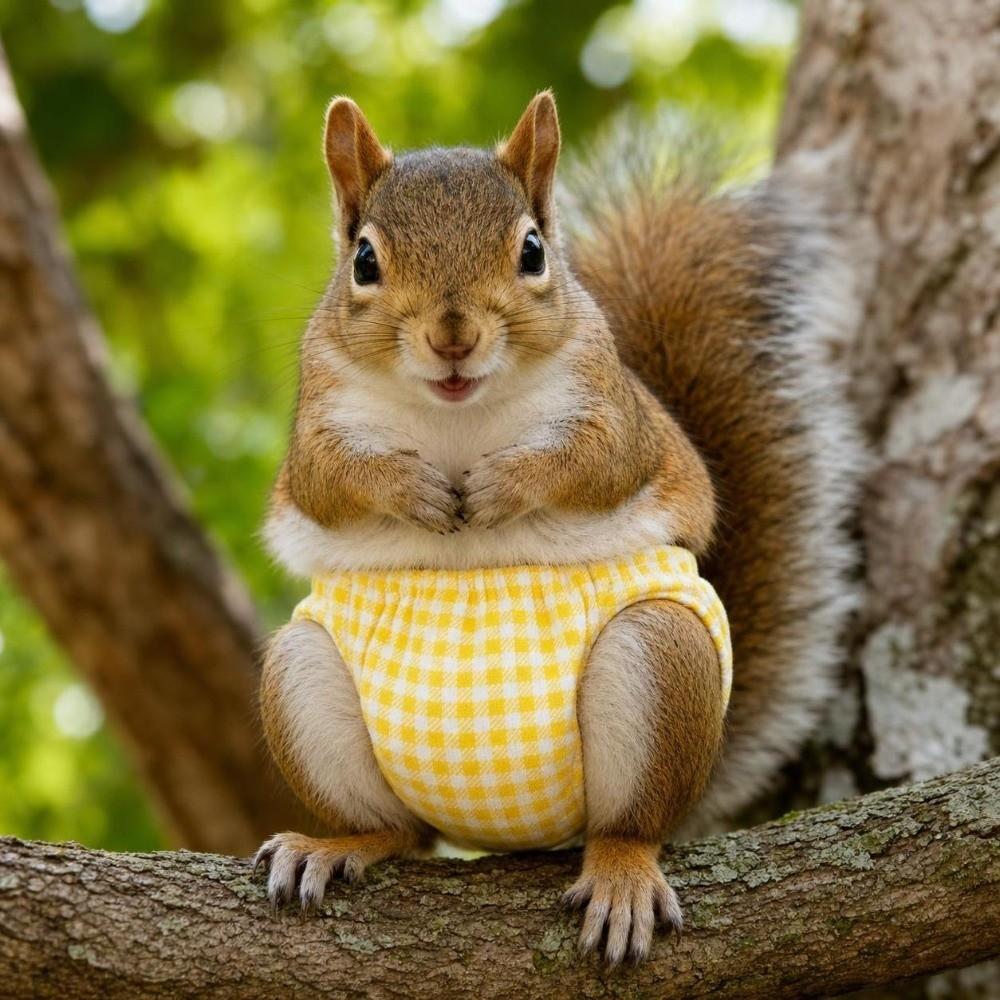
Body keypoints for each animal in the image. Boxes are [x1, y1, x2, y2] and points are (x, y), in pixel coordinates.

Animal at [254, 92, 860, 965]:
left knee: (629, 826)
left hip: (662, 658)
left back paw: (622, 871)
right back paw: (338, 844)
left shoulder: (619, 416)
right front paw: (414, 489)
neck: (458, 414)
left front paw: (504, 486)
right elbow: (330, 482)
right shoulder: (315, 425)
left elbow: (596, 462)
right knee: (399, 831)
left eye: (533, 251)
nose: (452, 336)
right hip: (302, 672)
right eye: (364, 261)